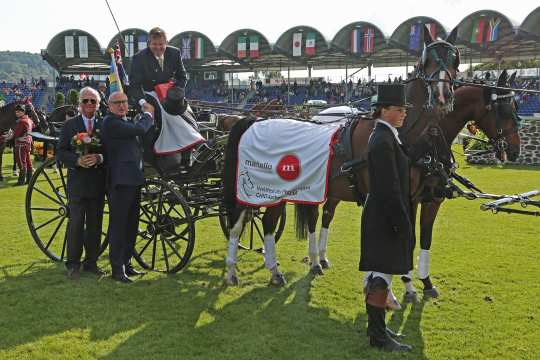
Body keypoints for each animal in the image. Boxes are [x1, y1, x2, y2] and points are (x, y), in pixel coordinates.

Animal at [221, 26, 462, 286]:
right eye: (428, 60)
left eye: (454, 60)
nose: (442, 95)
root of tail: (255, 120)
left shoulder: (420, 198)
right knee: (243, 222)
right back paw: (238, 270)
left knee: (264, 222)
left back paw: (270, 270)